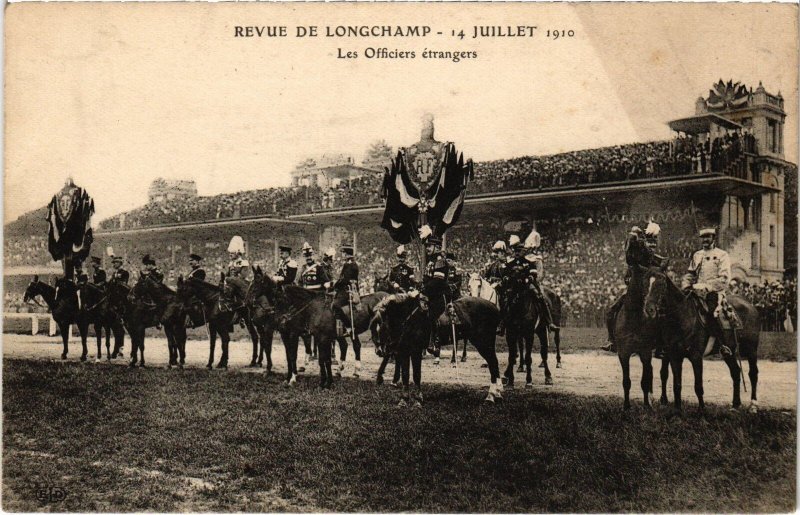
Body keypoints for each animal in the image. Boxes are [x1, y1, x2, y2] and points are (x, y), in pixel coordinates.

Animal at [644, 272, 764, 414]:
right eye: (646, 284)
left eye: (660, 285)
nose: (649, 310)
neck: (683, 318)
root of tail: (750, 305)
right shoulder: (674, 356)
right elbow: (676, 384)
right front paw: (677, 410)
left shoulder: (696, 357)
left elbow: (698, 386)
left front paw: (701, 410)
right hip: (729, 352)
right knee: (735, 372)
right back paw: (735, 405)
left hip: (751, 349)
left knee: (753, 374)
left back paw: (753, 405)